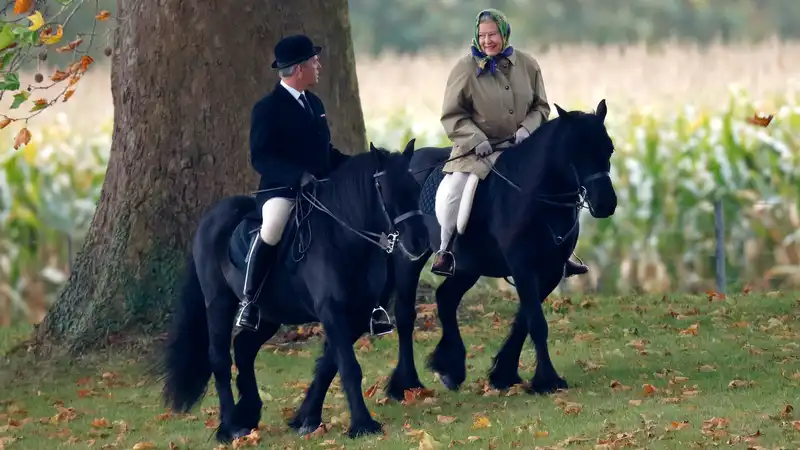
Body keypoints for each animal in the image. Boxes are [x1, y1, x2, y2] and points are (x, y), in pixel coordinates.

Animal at [159, 141, 428, 442]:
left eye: (415, 187)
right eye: (385, 189)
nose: (419, 241)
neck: (342, 238)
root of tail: (210, 218)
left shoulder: (356, 314)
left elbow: (329, 364)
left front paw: (306, 419)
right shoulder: (331, 310)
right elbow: (348, 367)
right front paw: (362, 424)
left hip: (269, 312)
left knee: (244, 349)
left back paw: (248, 413)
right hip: (218, 302)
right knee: (219, 358)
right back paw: (231, 428)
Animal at [382, 99, 620, 400]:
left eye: (609, 148)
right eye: (576, 150)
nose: (605, 204)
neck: (535, 196)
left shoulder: (551, 270)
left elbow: (524, 320)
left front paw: (504, 374)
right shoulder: (522, 266)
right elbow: (536, 322)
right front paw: (548, 380)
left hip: (468, 266)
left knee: (446, 298)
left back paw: (450, 368)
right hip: (409, 257)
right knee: (405, 314)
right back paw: (405, 385)